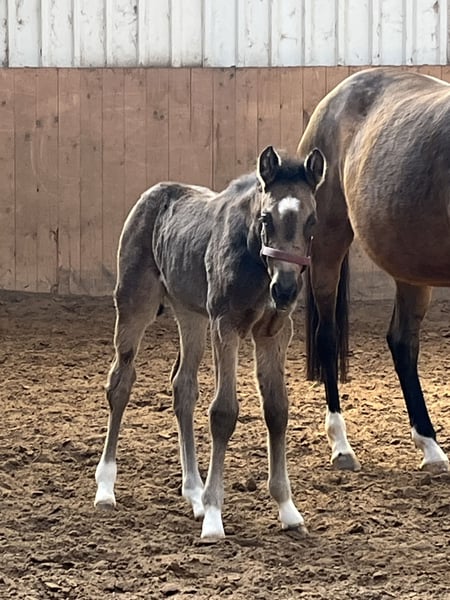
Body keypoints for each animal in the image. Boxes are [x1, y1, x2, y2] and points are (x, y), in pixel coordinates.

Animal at [94, 145, 326, 539]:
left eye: (312, 221)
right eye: (266, 219)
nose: (286, 289)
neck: (256, 263)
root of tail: (151, 195)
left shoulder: (273, 331)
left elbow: (277, 410)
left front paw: (287, 509)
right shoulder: (225, 324)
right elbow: (223, 412)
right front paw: (215, 515)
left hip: (191, 317)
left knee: (183, 387)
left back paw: (193, 492)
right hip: (135, 305)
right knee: (120, 383)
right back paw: (106, 487)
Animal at [297, 67, 450, 474]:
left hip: (410, 268)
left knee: (402, 342)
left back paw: (430, 447)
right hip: (327, 243)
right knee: (327, 335)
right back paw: (341, 446)